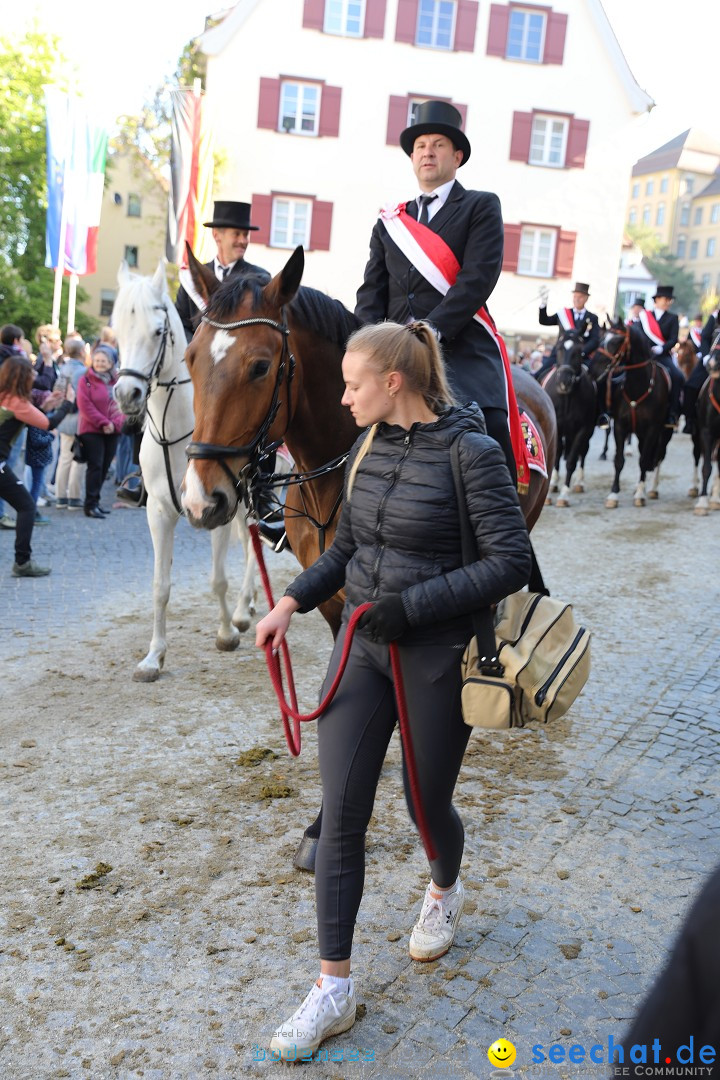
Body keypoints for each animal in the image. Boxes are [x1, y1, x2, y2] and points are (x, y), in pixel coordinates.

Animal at [111, 260, 260, 678]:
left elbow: (218, 579)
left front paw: (226, 634)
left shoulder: (217, 511)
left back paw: (242, 611)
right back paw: (247, 605)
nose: (127, 395)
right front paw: (153, 657)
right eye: (117, 329)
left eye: (158, 331)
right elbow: (160, 586)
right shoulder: (159, 510)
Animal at [179, 245, 557, 868]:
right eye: (189, 358)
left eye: (260, 366)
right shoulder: (337, 600)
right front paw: (323, 821)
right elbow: (340, 702)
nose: (199, 499)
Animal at [539, 326, 595, 507]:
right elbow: (556, 457)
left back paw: (578, 483)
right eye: (559, 348)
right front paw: (550, 491)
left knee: (582, 452)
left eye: (579, 351)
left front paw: (564, 494)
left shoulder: (583, 429)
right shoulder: (557, 428)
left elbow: (571, 461)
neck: (568, 398)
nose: (564, 381)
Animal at [591, 321, 677, 507]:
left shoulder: (653, 429)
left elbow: (644, 460)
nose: (593, 370)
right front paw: (613, 494)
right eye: (601, 338)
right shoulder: (621, 426)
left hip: (665, 432)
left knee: (658, 456)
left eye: (617, 341)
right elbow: (619, 461)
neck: (638, 388)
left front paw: (639, 495)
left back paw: (651, 489)